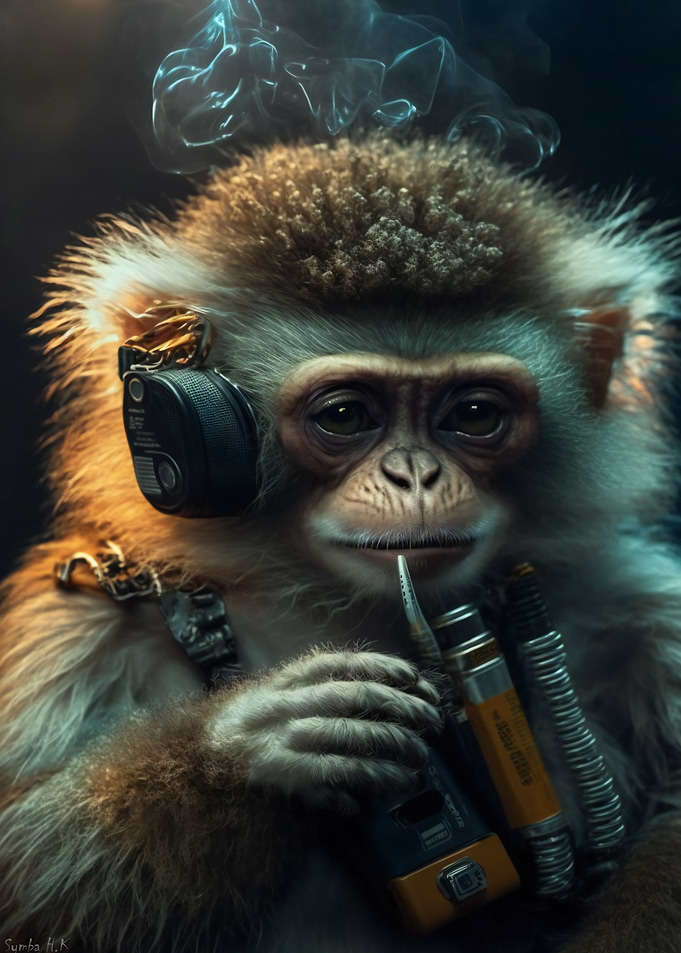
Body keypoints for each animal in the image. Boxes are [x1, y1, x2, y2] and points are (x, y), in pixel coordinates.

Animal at [1, 133, 681, 953]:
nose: (413, 475)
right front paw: (238, 751)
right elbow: (27, 860)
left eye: (475, 413)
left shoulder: (638, 603)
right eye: (347, 415)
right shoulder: (87, 619)